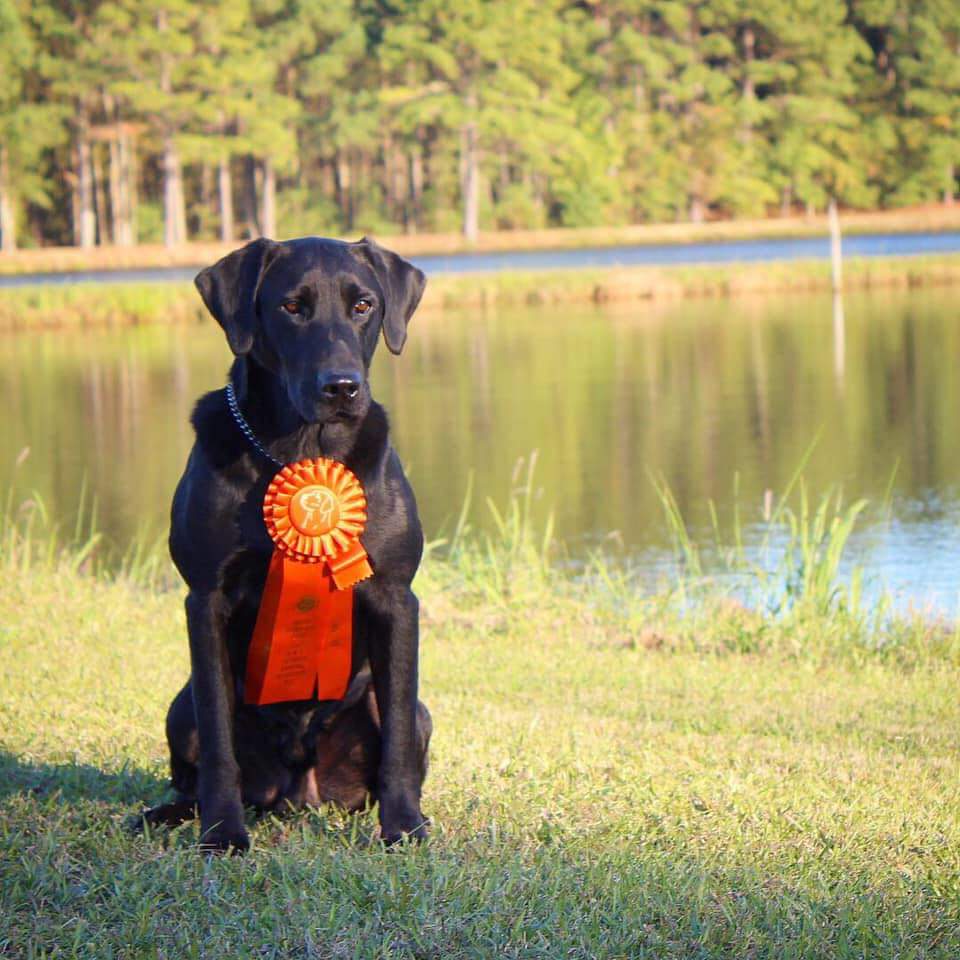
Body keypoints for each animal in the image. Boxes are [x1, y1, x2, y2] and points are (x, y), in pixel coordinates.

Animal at [140, 236, 432, 852]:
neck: (299, 449)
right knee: (192, 762)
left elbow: (396, 735)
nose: (341, 386)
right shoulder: (205, 598)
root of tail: (298, 794)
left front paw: (404, 826)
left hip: (415, 713)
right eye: (291, 307)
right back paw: (167, 813)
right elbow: (218, 740)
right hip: (179, 708)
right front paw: (222, 832)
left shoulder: (397, 596)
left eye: (364, 305)